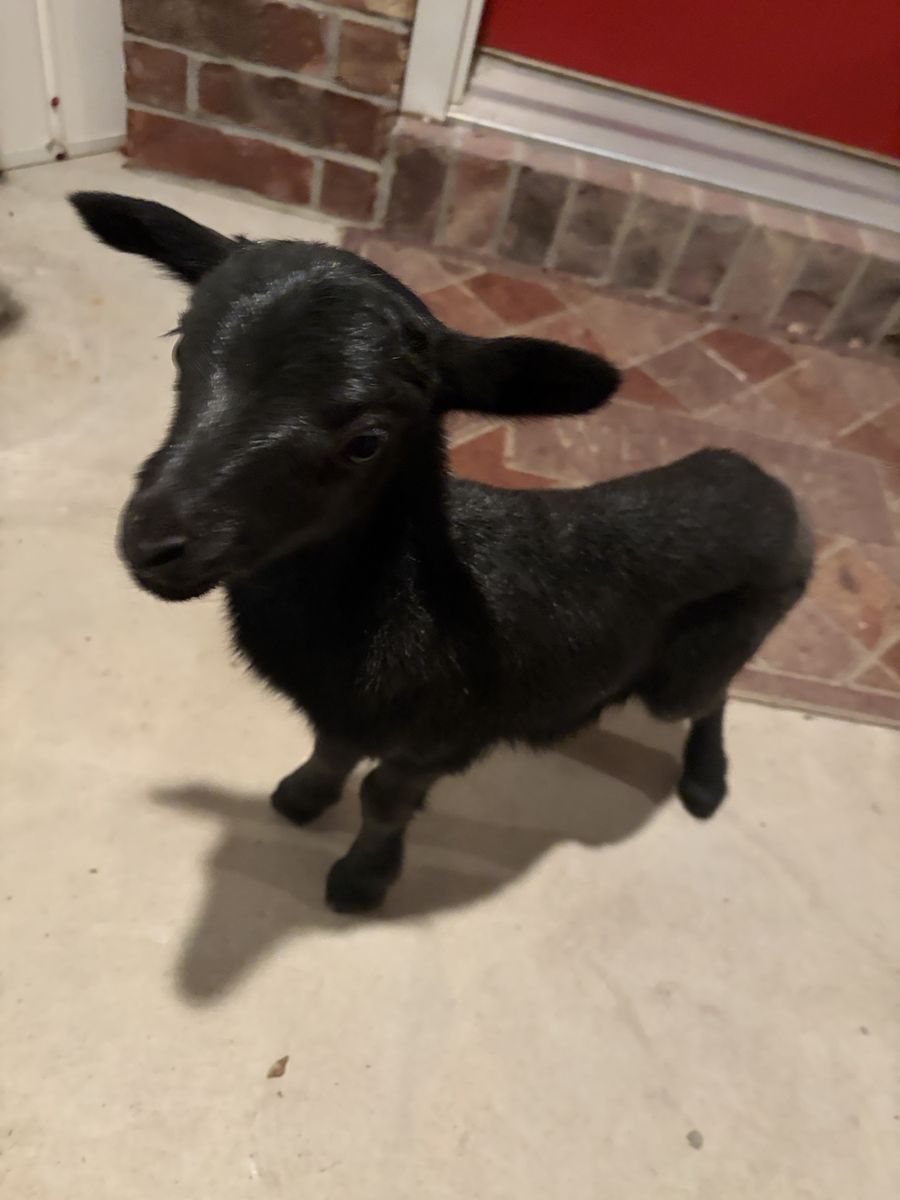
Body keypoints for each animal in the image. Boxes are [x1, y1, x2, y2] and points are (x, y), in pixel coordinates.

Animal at [70, 191, 813, 913]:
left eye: (367, 441)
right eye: (179, 354)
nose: (152, 543)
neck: (389, 599)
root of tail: (778, 493)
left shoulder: (447, 733)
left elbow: (384, 798)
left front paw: (362, 881)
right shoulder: (353, 709)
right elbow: (331, 748)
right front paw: (302, 797)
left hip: (705, 655)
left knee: (711, 698)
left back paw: (706, 781)